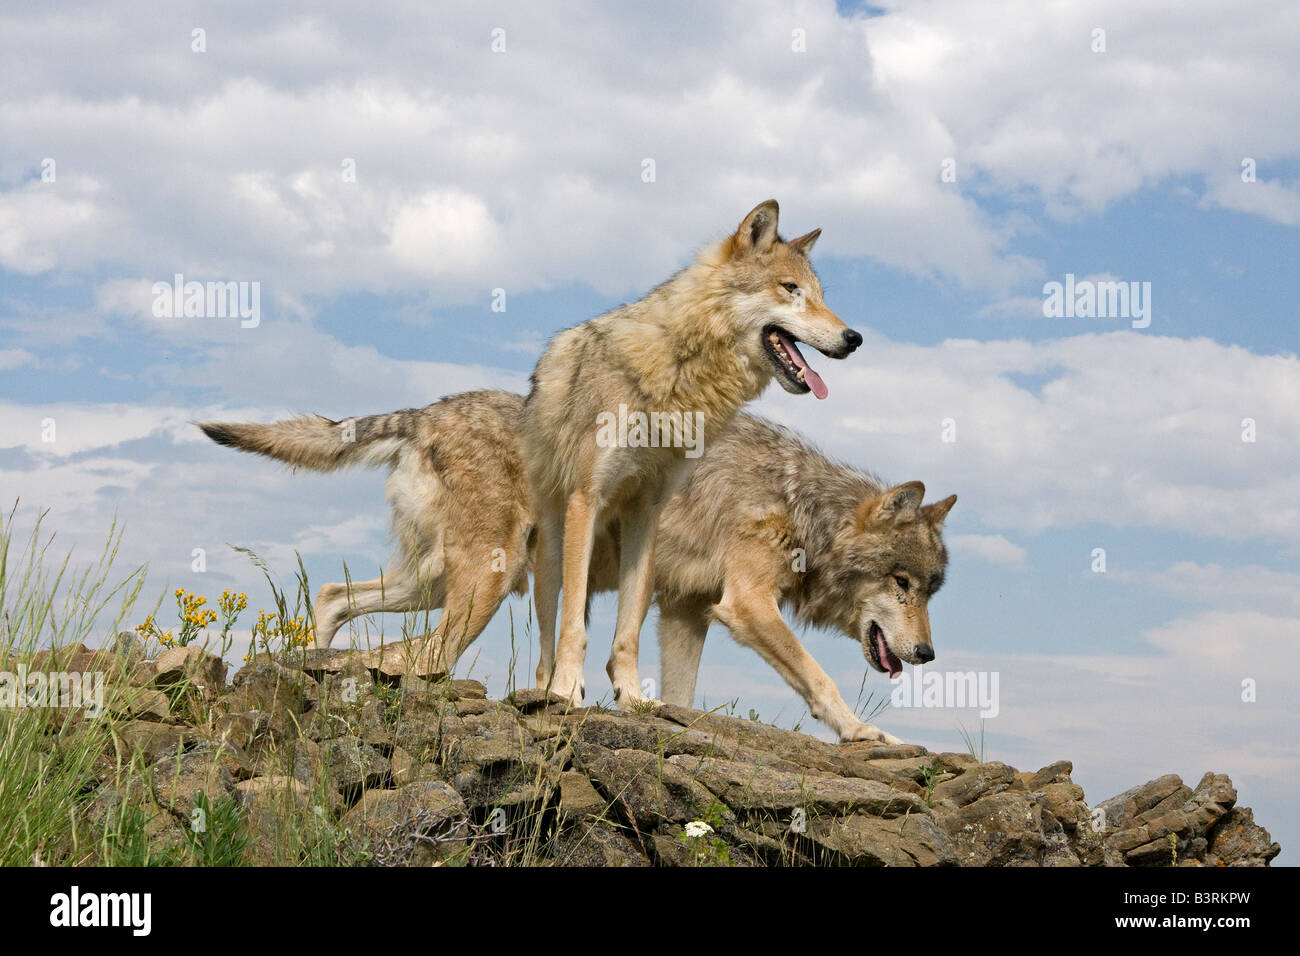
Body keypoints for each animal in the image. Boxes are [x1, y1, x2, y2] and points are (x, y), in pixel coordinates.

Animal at [199, 391, 955, 744]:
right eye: (902, 584)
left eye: (931, 590)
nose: (926, 654)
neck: (800, 503)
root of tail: (426, 412)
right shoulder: (743, 606)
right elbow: (819, 680)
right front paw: (866, 734)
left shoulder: (685, 613)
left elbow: (680, 696)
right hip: (482, 584)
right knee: (410, 657)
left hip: (436, 583)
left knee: (333, 595)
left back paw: (307, 665)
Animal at [521, 199, 863, 708]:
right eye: (791, 289)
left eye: (821, 295)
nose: (854, 338)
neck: (680, 372)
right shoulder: (588, 497)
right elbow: (571, 628)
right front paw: (566, 692)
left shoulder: (646, 511)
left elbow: (626, 634)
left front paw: (633, 698)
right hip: (554, 547)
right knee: (550, 632)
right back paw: (548, 688)